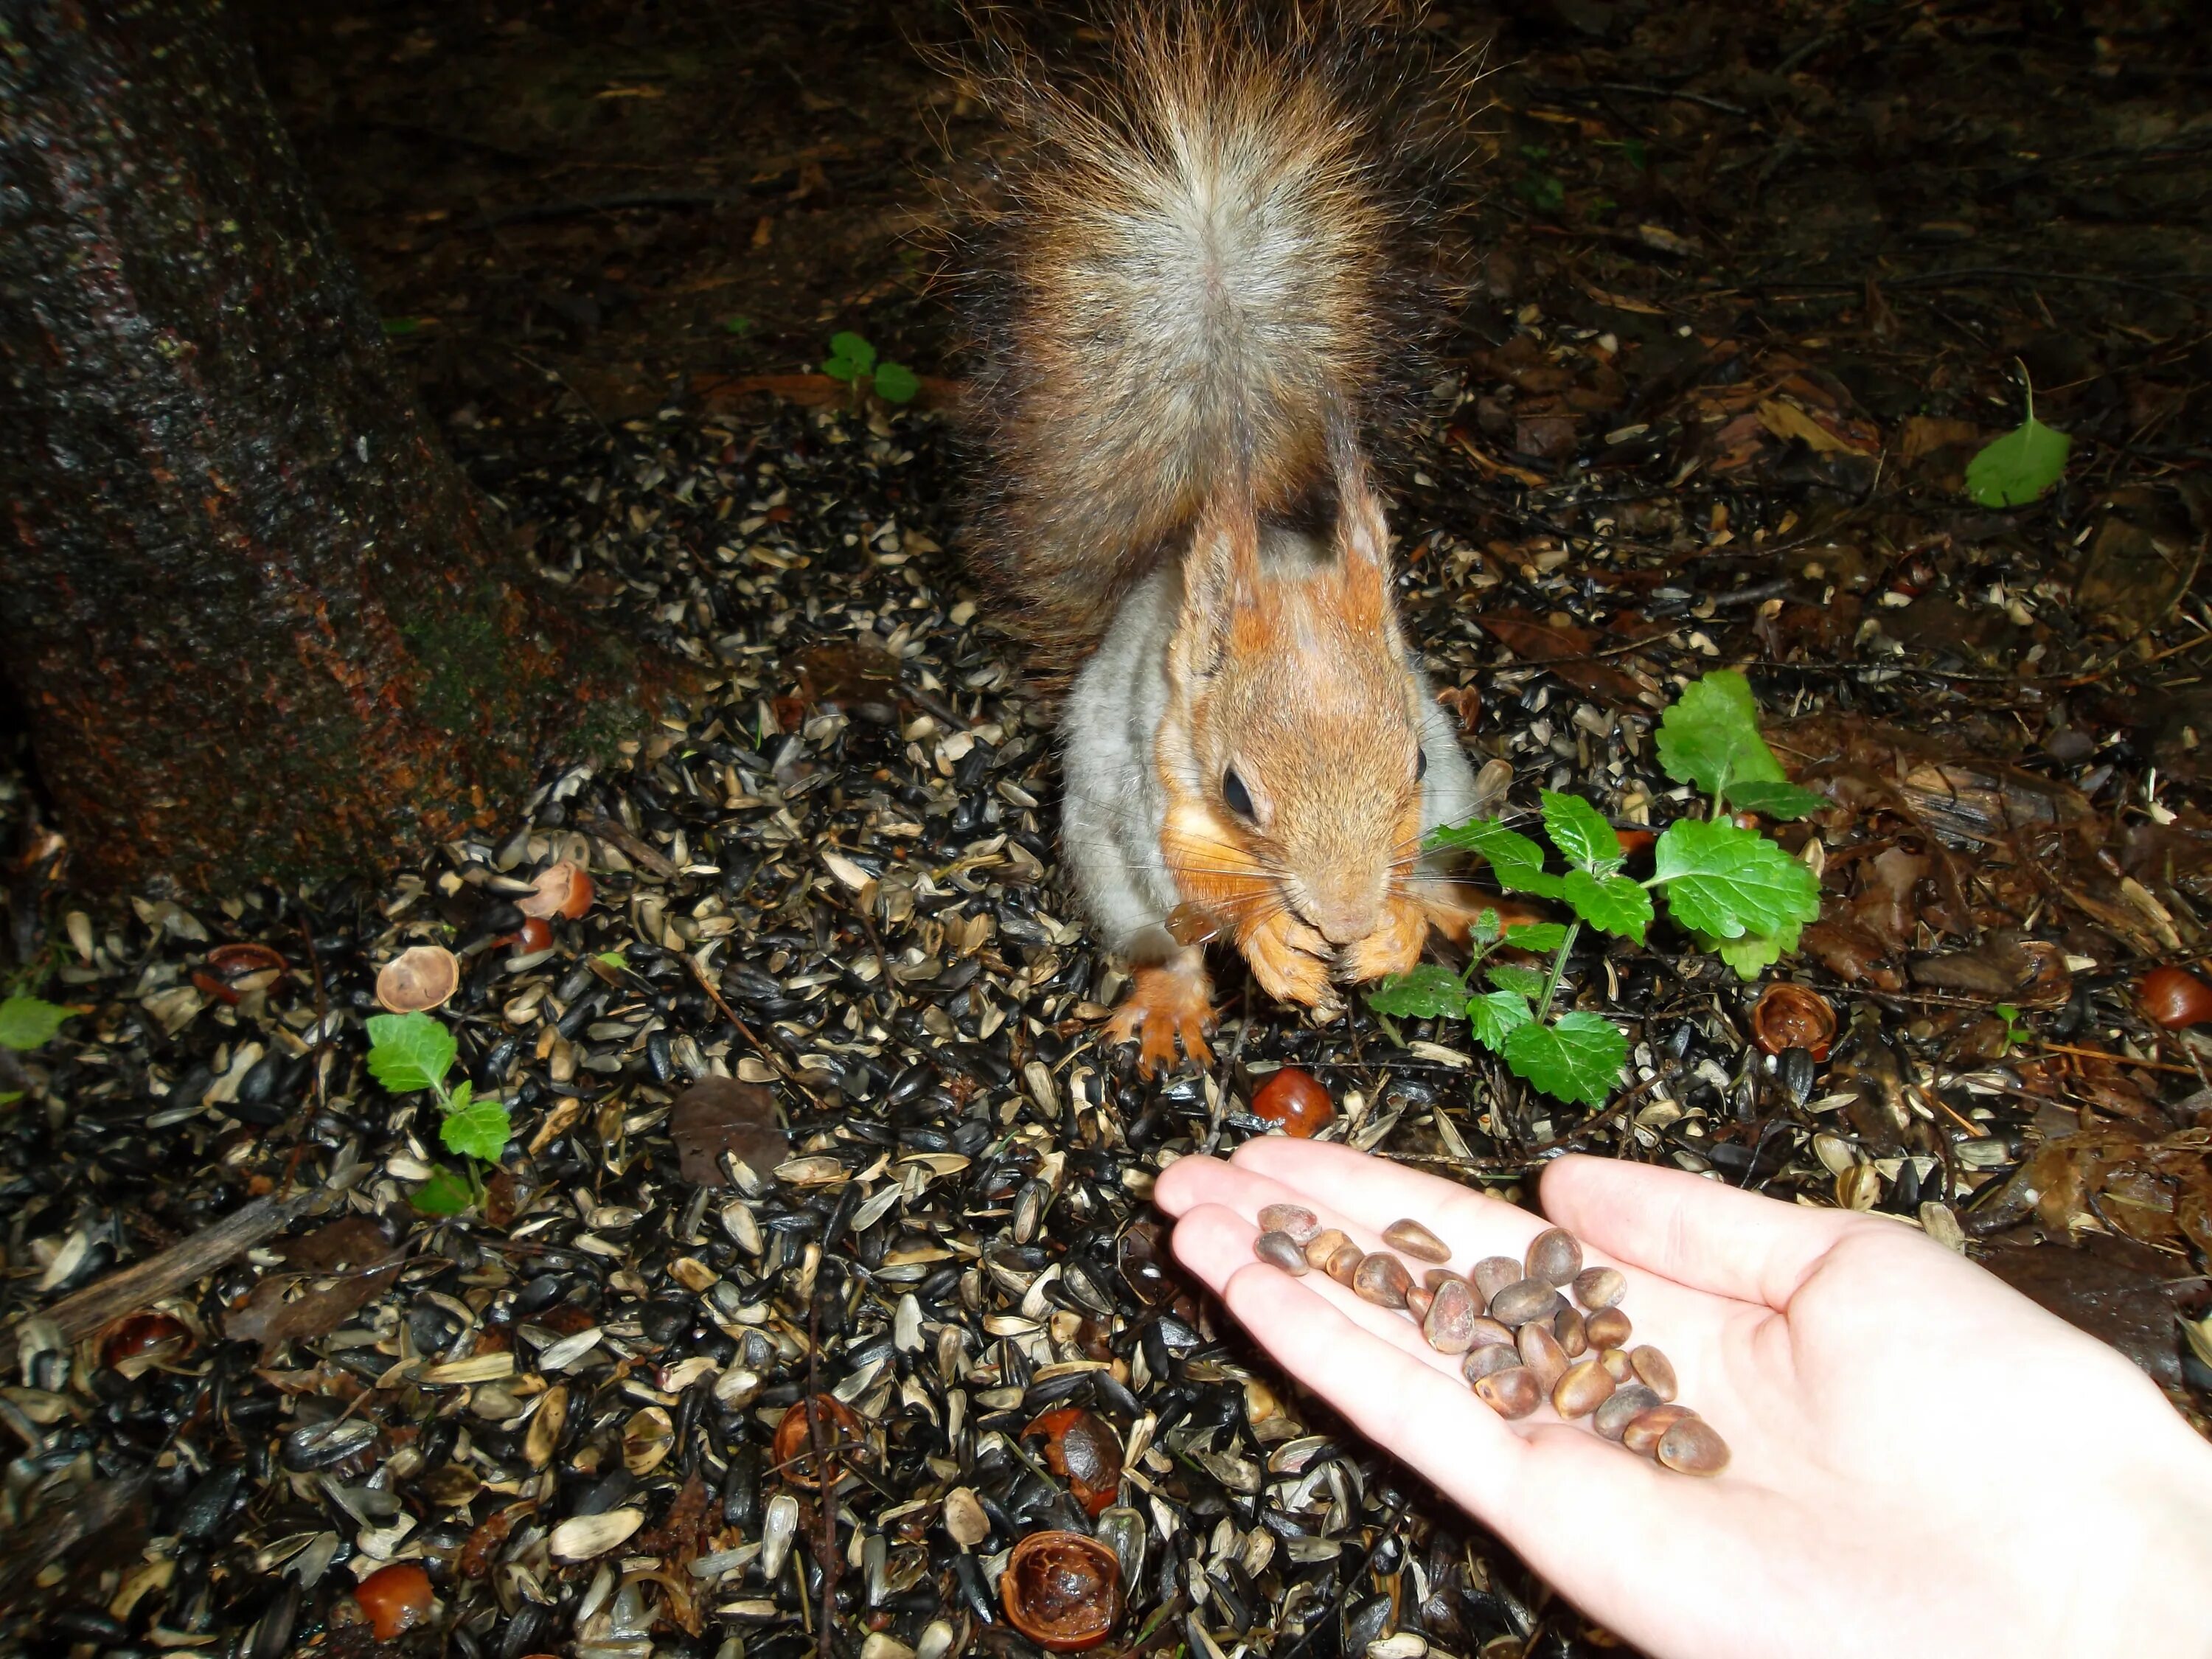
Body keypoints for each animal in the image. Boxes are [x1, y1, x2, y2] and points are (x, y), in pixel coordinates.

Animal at [960, 3, 1478, 1079]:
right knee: (1167, 942)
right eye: (1238, 791)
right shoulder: (1151, 786)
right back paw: (1170, 998)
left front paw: (1397, 927)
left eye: (1412, 761)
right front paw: (1273, 939)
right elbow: (1203, 890)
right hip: (1108, 870)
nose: (1344, 917)